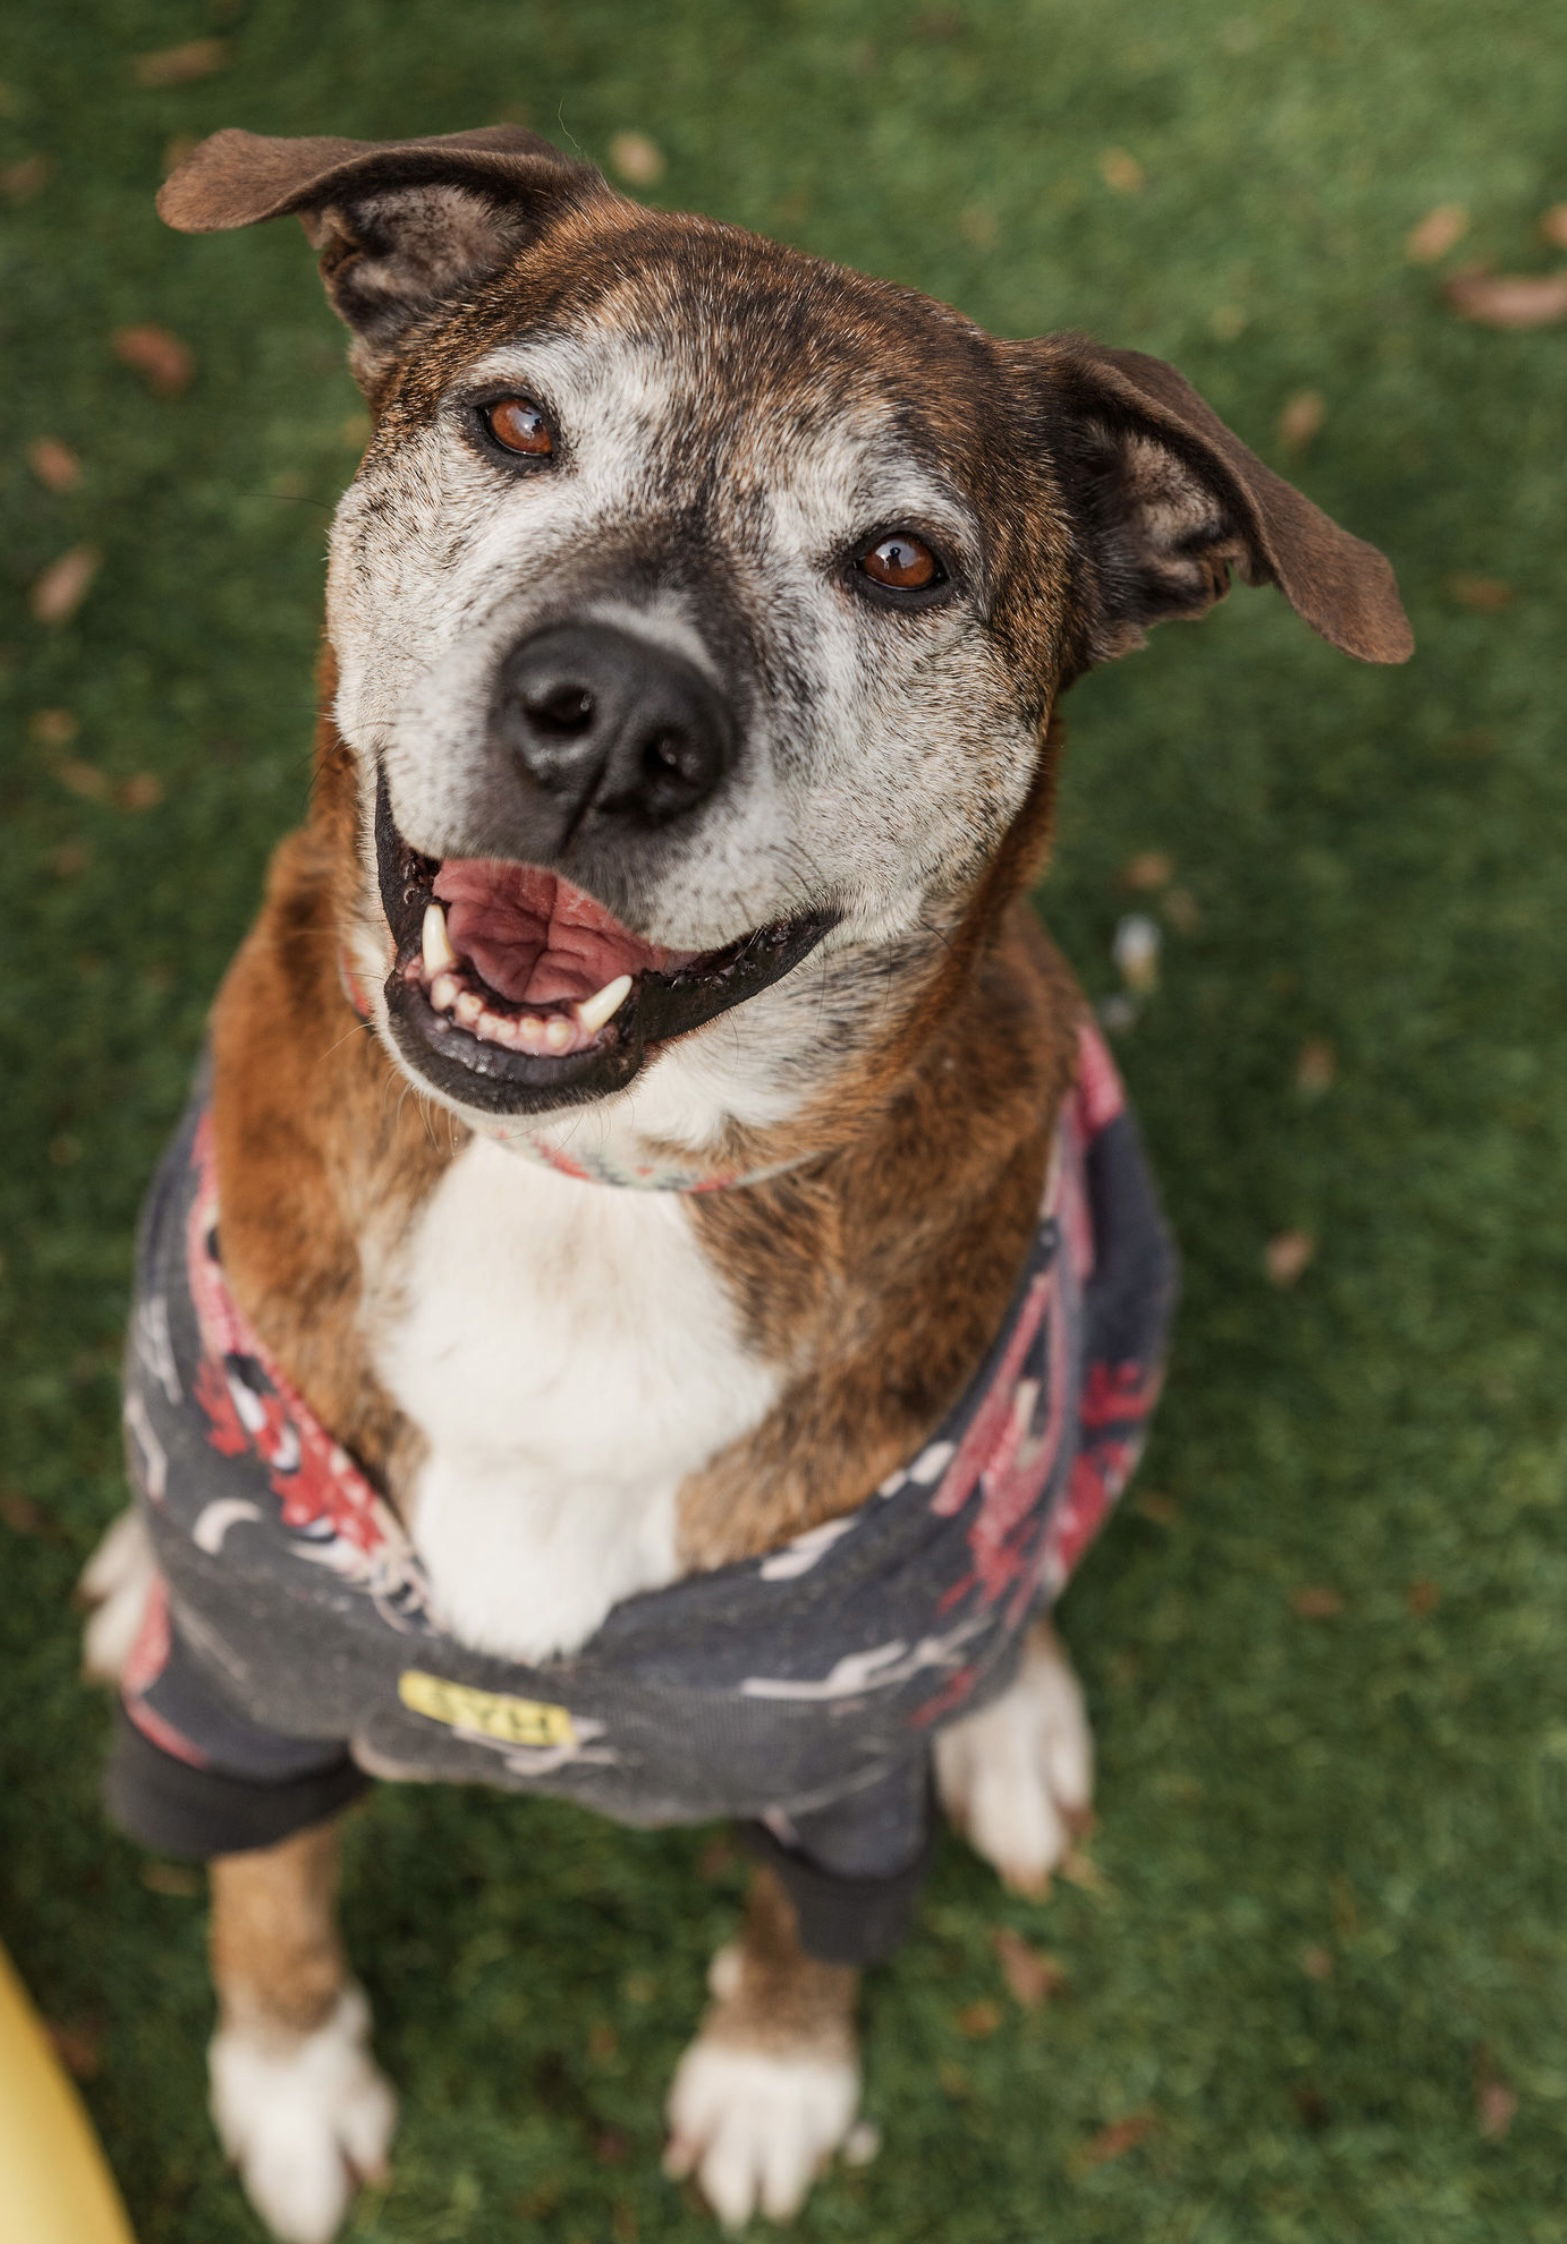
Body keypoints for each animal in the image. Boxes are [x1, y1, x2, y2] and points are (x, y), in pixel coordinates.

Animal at [79, 127, 1409, 2244]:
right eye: (515, 422)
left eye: (902, 562)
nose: (612, 715)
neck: (587, 1187)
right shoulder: (261, 1681)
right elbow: (263, 1877)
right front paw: (290, 2083)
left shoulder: (833, 1740)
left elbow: (812, 1911)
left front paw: (775, 2078)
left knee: (1043, 1532)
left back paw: (1011, 1704)